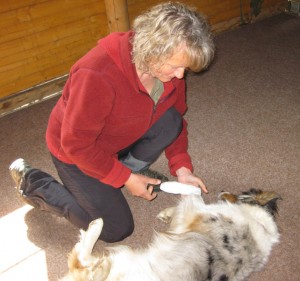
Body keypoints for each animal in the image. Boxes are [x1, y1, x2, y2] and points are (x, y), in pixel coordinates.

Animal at [60, 187, 282, 278]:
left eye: (239, 193)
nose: (221, 192)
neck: (257, 218)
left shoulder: (198, 215)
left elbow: (194, 198)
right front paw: (167, 213)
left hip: (114, 265)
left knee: (79, 261)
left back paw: (96, 225)